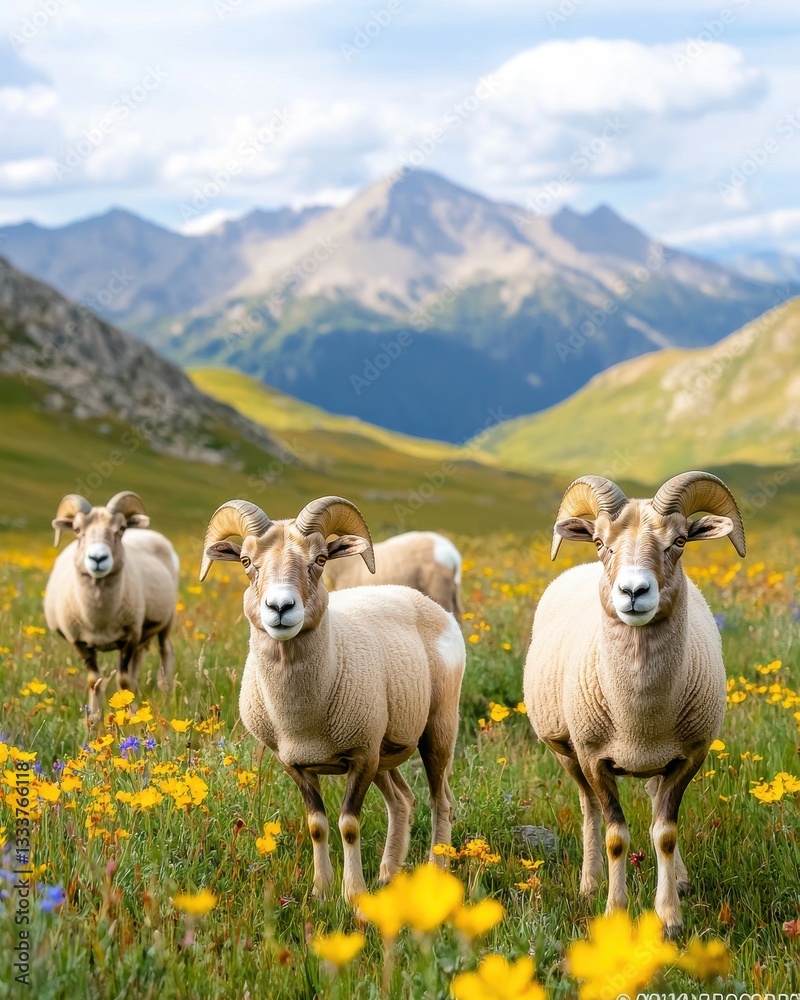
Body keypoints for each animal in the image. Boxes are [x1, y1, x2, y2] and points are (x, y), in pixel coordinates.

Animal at [44, 492, 179, 720]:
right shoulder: (79, 642)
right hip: (144, 630)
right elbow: (94, 682)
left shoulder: (129, 637)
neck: (99, 619)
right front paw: (93, 720)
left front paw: (129, 717)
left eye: (121, 528)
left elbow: (122, 681)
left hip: (166, 621)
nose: (98, 558)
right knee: (140, 659)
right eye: (77, 530)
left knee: (165, 650)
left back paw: (166, 690)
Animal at [523, 471, 745, 936]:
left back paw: (680, 880)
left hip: (657, 762)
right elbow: (616, 836)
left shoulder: (689, 757)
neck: (640, 716)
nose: (633, 591)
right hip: (567, 752)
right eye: (599, 541)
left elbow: (664, 833)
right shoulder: (594, 759)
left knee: (652, 797)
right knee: (589, 809)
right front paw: (613, 912)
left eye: (679, 541)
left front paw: (670, 917)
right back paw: (589, 884)